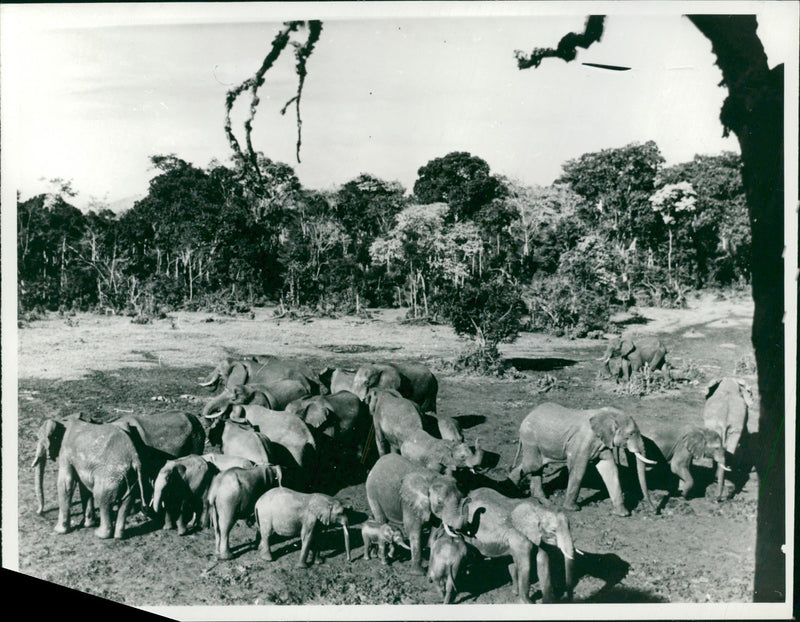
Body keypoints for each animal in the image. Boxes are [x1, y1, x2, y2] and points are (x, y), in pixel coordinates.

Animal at [510, 404, 660, 516]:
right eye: (630, 434)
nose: (654, 511)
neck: (608, 414)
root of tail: (528, 415)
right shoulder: (582, 441)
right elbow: (578, 468)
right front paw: (572, 509)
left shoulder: (603, 443)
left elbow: (610, 469)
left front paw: (622, 514)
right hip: (530, 438)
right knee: (534, 465)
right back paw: (512, 489)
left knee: (537, 465)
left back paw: (543, 501)